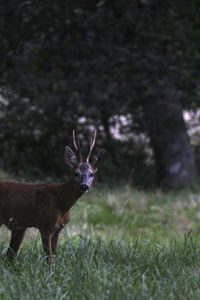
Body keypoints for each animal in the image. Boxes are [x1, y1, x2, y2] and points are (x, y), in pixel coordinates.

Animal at [0, 130, 104, 264]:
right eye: (75, 173)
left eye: (91, 174)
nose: (84, 186)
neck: (61, 203)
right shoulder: (45, 225)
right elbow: (49, 258)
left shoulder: (58, 228)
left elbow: (54, 256)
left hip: (19, 226)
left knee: (10, 255)